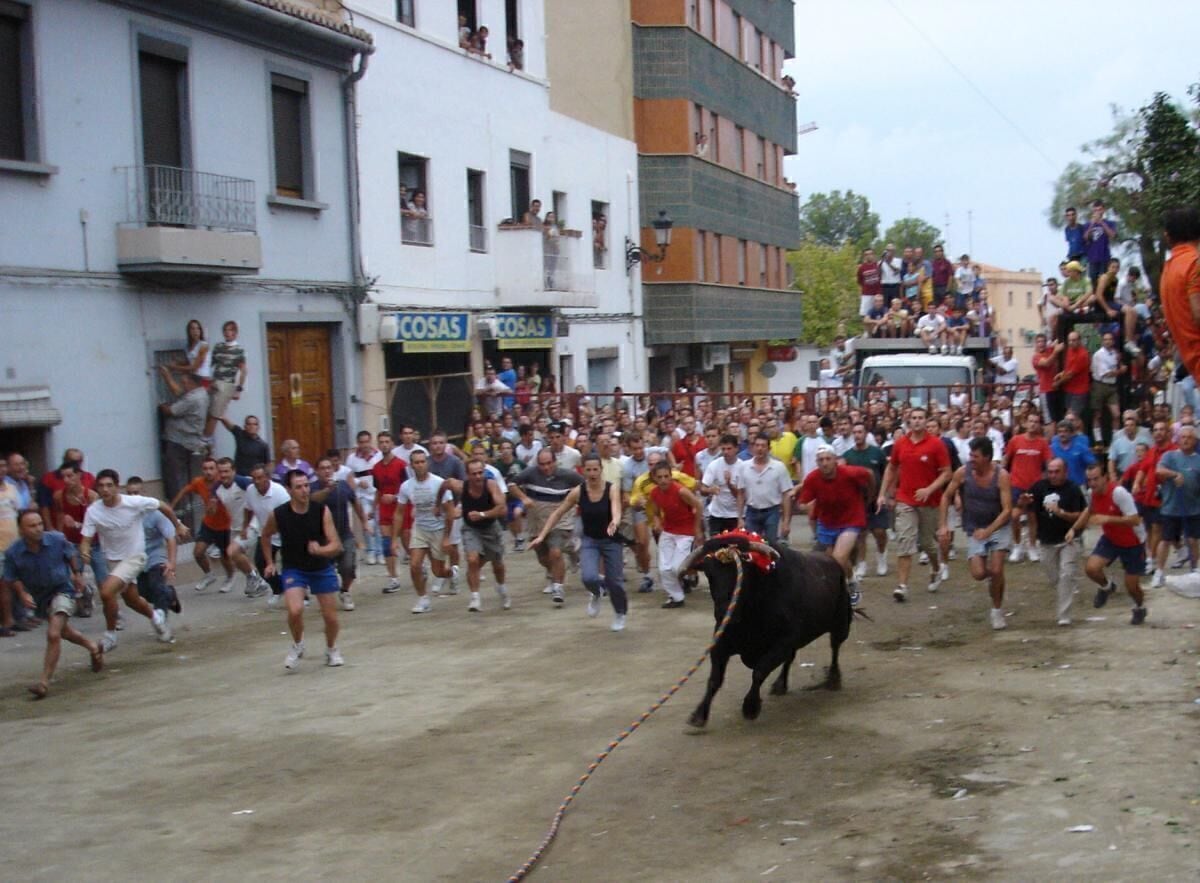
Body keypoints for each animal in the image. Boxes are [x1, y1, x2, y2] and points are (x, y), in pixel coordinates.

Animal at [686, 535, 854, 729]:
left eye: (741, 573)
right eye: (710, 574)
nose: (724, 612)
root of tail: (835, 564)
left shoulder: (783, 643)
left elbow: (759, 672)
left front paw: (750, 707)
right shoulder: (721, 644)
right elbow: (715, 679)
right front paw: (699, 715)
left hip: (840, 625)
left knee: (835, 648)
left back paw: (833, 680)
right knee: (791, 658)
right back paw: (780, 685)